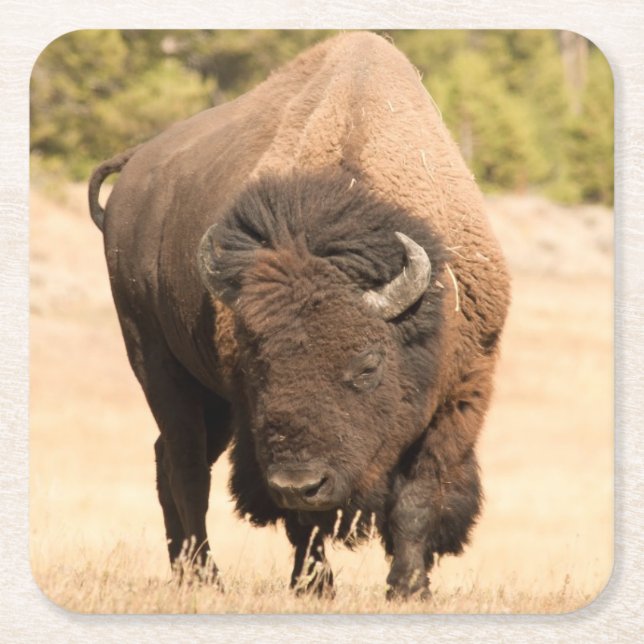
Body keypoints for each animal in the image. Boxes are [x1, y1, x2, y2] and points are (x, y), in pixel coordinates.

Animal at [89, 32, 510, 599]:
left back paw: (185, 572)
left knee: (168, 461)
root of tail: (135, 166)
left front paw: (408, 588)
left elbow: (418, 497)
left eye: (367, 365)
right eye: (258, 365)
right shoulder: (257, 424)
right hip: (156, 363)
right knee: (186, 469)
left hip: (210, 402)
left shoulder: (461, 395)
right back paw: (205, 577)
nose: (299, 482)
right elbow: (304, 522)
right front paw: (315, 586)